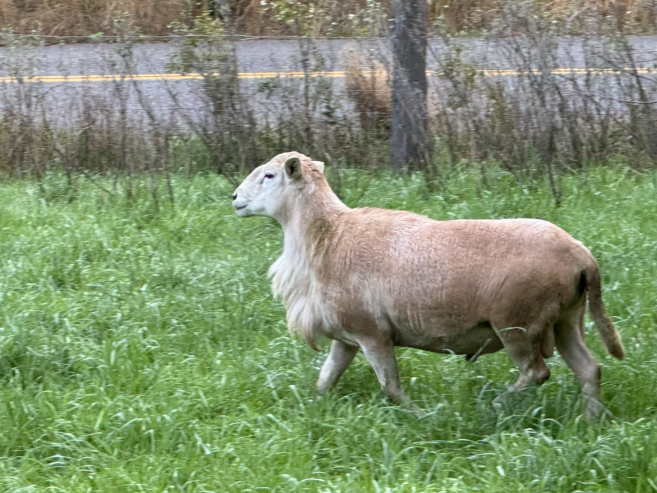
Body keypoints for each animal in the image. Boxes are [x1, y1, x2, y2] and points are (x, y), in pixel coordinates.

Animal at [232, 151, 624, 418]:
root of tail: (582, 256)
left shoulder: (373, 333)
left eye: (269, 175)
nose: (235, 198)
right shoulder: (347, 337)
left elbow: (391, 387)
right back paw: (591, 421)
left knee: (536, 372)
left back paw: (494, 405)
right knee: (589, 369)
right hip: (564, 319)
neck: (326, 237)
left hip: (516, 322)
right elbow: (325, 379)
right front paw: (313, 411)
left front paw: (420, 417)